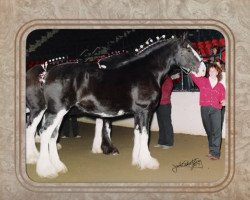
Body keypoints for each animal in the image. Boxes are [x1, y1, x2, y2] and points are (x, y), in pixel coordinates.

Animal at [26, 33, 206, 178]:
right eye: (188, 49)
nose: (204, 70)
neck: (147, 71)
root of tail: (47, 74)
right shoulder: (145, 110)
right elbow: (145, 134)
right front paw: (148, 161)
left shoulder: (138, 112)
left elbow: (138, 133)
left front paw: (137, 160)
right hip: (54, 111)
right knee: (43, 133)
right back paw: (45, 169)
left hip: (59, 113)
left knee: (52, 135)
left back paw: (57, 166)